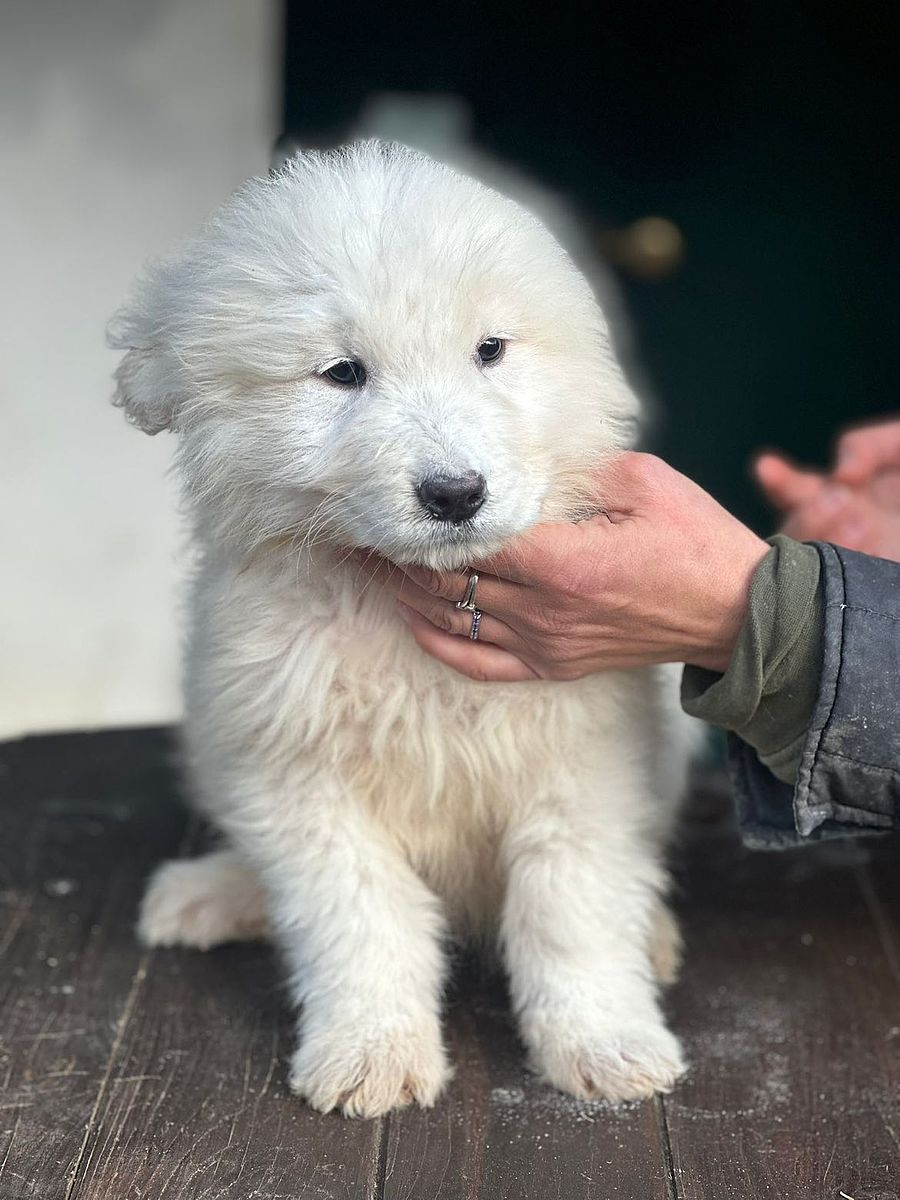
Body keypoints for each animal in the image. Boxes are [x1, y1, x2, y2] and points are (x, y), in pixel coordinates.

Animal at [111, 141, 698, 1118]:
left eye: (490, 351)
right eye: (343, 372)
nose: (455, 493)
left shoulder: (585, 762)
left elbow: (569, 909)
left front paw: (605, 1044)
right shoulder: (298, 773)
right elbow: (359, 918)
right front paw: (372, 1054)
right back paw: (212, 892)